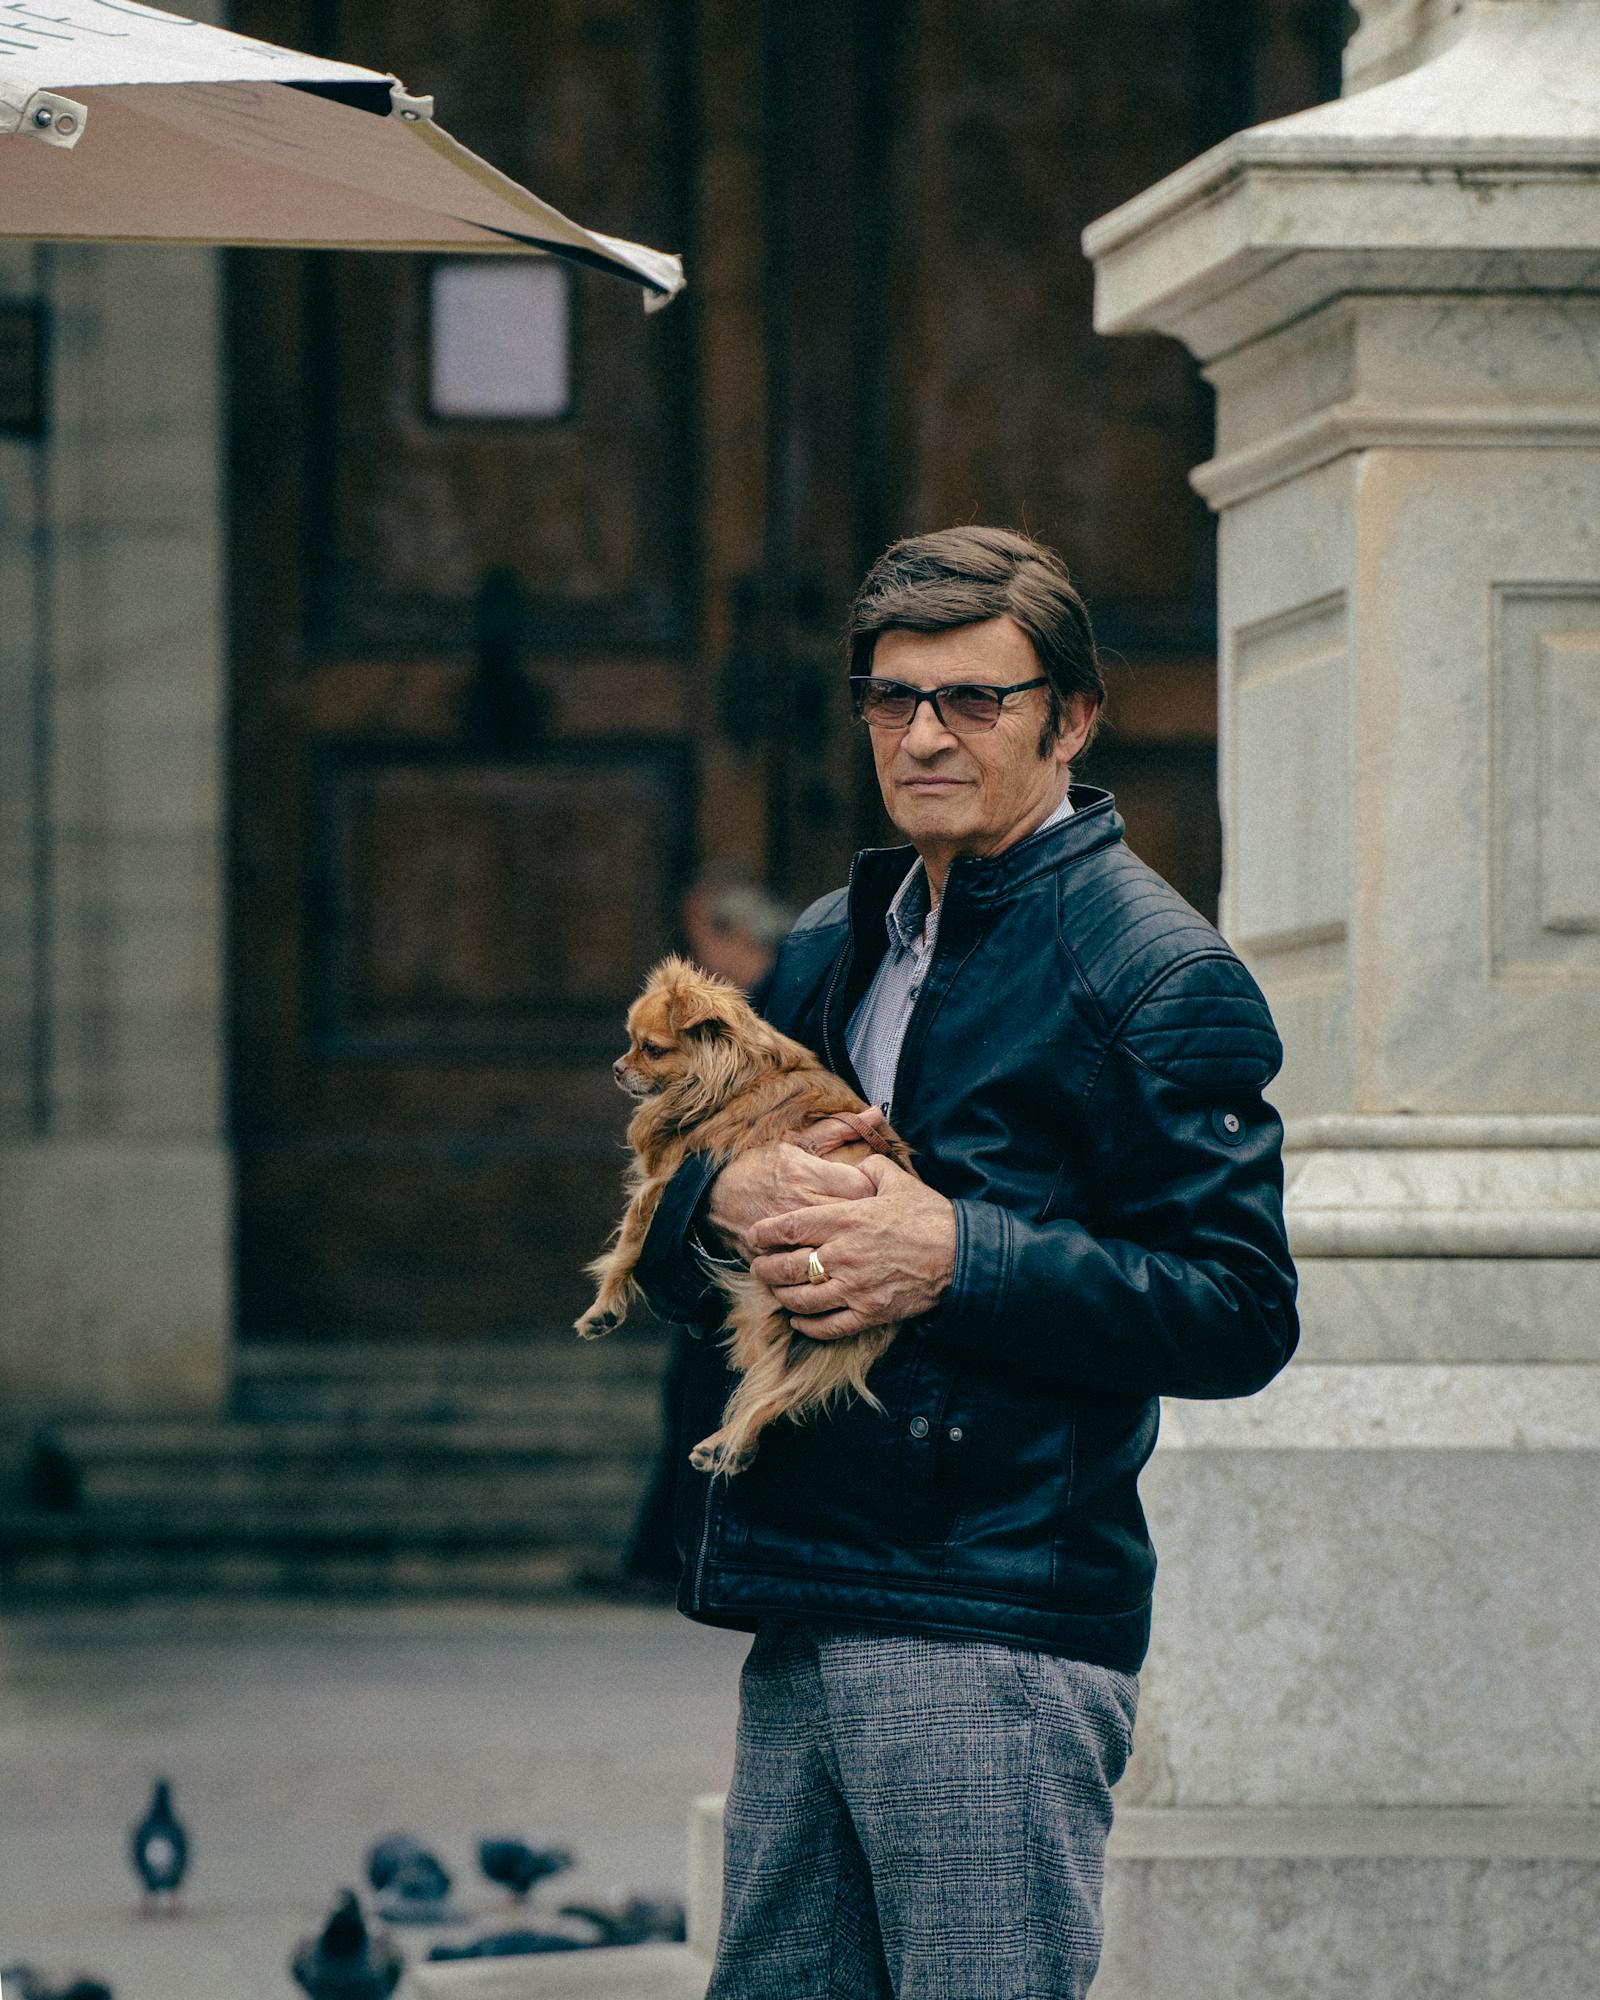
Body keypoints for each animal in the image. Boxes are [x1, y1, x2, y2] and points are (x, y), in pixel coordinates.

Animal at [580, 960, 912, 1480]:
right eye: (630, 1043)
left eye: (650, 1049)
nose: (617, 1066)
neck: (737, 1078)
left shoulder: (664, 1182)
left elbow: (628, 1246)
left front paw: (602, 1309)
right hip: (805, 1335)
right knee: (775, 1393)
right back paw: (726, 1447)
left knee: (770, 1392)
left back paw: (725, 1445)